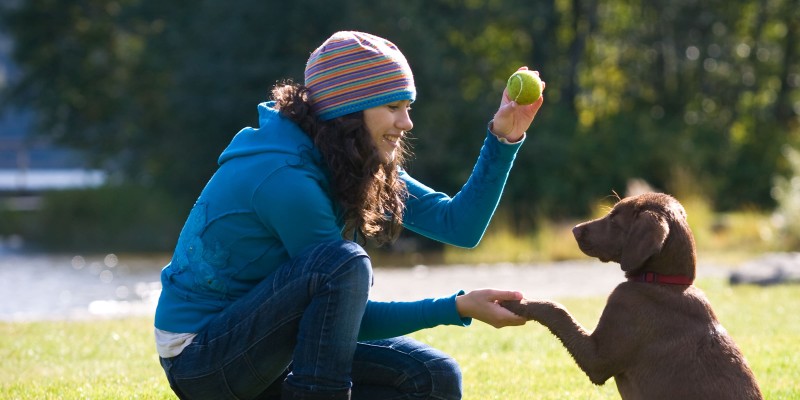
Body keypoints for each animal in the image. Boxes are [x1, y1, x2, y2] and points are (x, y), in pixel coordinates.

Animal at [504, 192, 764, 398]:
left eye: (614, 218)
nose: (574, 230)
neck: (663, 282)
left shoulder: (598, 358)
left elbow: (556, 310)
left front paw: (516, 302)